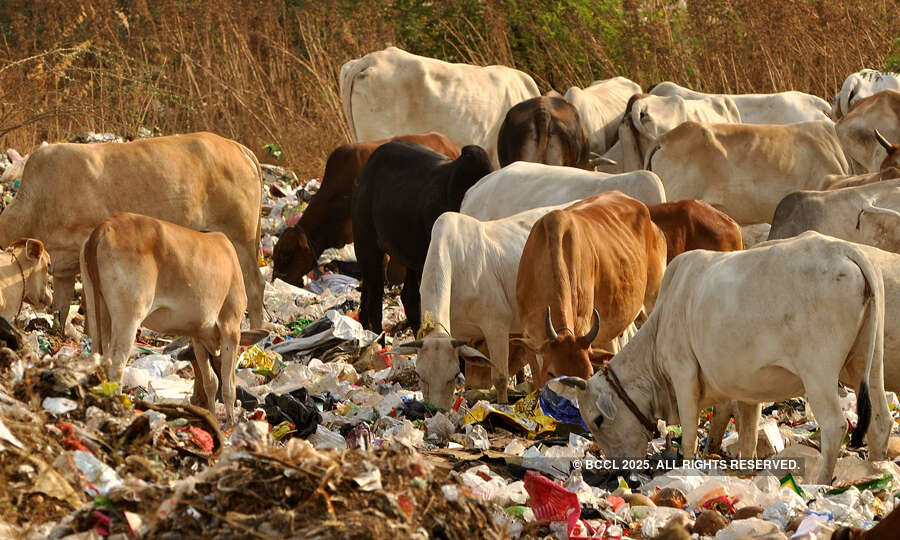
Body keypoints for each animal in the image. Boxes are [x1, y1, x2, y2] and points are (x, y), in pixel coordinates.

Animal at [81, 213, 249, 427]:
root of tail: (104, 227)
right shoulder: (231, 327)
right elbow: (228, 386)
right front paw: (231, 424)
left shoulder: (198, 336)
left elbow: (211, 381)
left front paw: (211, 416)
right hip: (128, 316)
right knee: (116, 363)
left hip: (97, 308)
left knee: (96, 356)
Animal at [556, 232, 892, 485]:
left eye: (598, 420)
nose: (620, 471)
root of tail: (845, 249)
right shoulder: (748, 392)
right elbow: (746, 438)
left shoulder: (683, 373)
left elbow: (690, 436)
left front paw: (686, 470)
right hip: (870, 363)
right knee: (880, 420)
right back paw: (876, 471)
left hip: (818, 373)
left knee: (835, 425)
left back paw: (822, 482)